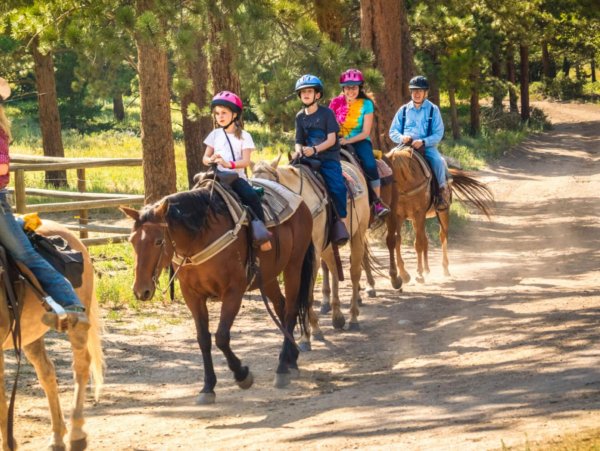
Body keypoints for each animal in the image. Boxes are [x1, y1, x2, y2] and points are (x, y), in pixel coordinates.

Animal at [0, 222, 103, 451]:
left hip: (76, 324)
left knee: (81, 366)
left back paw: (76, 433)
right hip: (30, 336)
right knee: (47, 372)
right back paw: (57, 437)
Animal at [124, 185, 316, 406]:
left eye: (158, 241)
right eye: (132, 241)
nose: (141, 290)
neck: (199, 238)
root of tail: (300, 201)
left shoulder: (233, 291)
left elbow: (221, 337)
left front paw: (242, 375)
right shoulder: (192, 296)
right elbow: (203, 339)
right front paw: (208, 388)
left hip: (294, 265)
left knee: (291, 309)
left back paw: (283, 368)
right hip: (268, 276)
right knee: (281, 307)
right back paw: (291, 360)